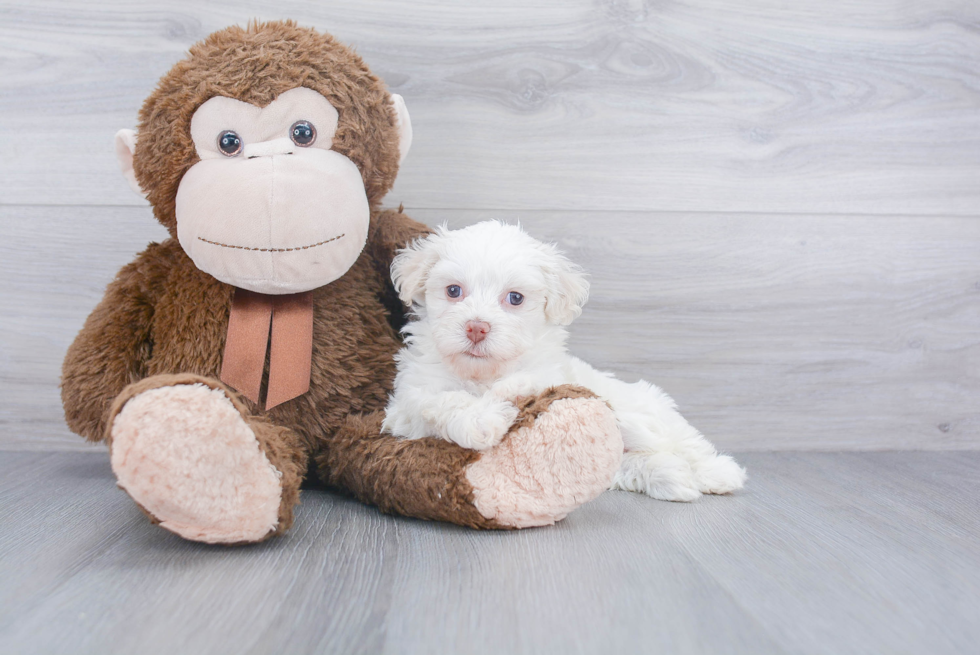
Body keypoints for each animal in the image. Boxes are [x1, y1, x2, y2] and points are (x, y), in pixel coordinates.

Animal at [378, 220, 748, 502]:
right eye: (453, 291)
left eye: (515, 298)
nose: (476, 327)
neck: (482, 373)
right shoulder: (406, 405)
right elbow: (440, 401)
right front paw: (479, 420)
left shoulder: (551, 374)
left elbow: (529, 381)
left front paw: (508, 391)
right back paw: (674, 477)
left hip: (648, 406)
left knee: (680, 439)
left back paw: (717, 472)